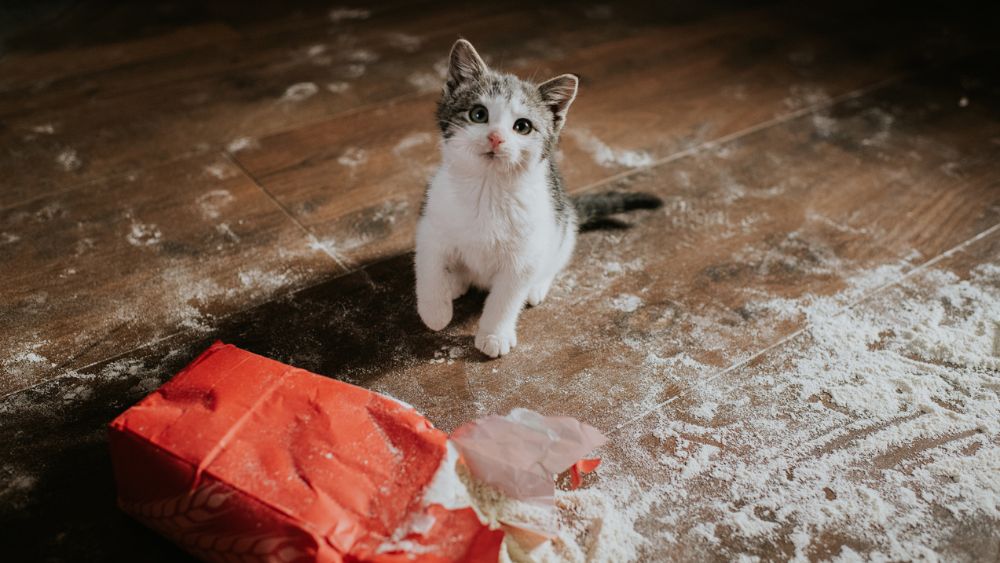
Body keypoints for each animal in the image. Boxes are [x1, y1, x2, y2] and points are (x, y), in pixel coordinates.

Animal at [416, 38, 660, 356]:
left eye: (522, 126)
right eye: (478, 114)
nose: (496, 138)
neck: (487, 190)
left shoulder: (524, 254)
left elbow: (506, 297)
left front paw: (494, 333)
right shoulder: (430, 226)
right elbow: (429, 269)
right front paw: (435, 311)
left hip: (562, 226)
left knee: (553, 260)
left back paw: (535, 287)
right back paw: (454, 280)